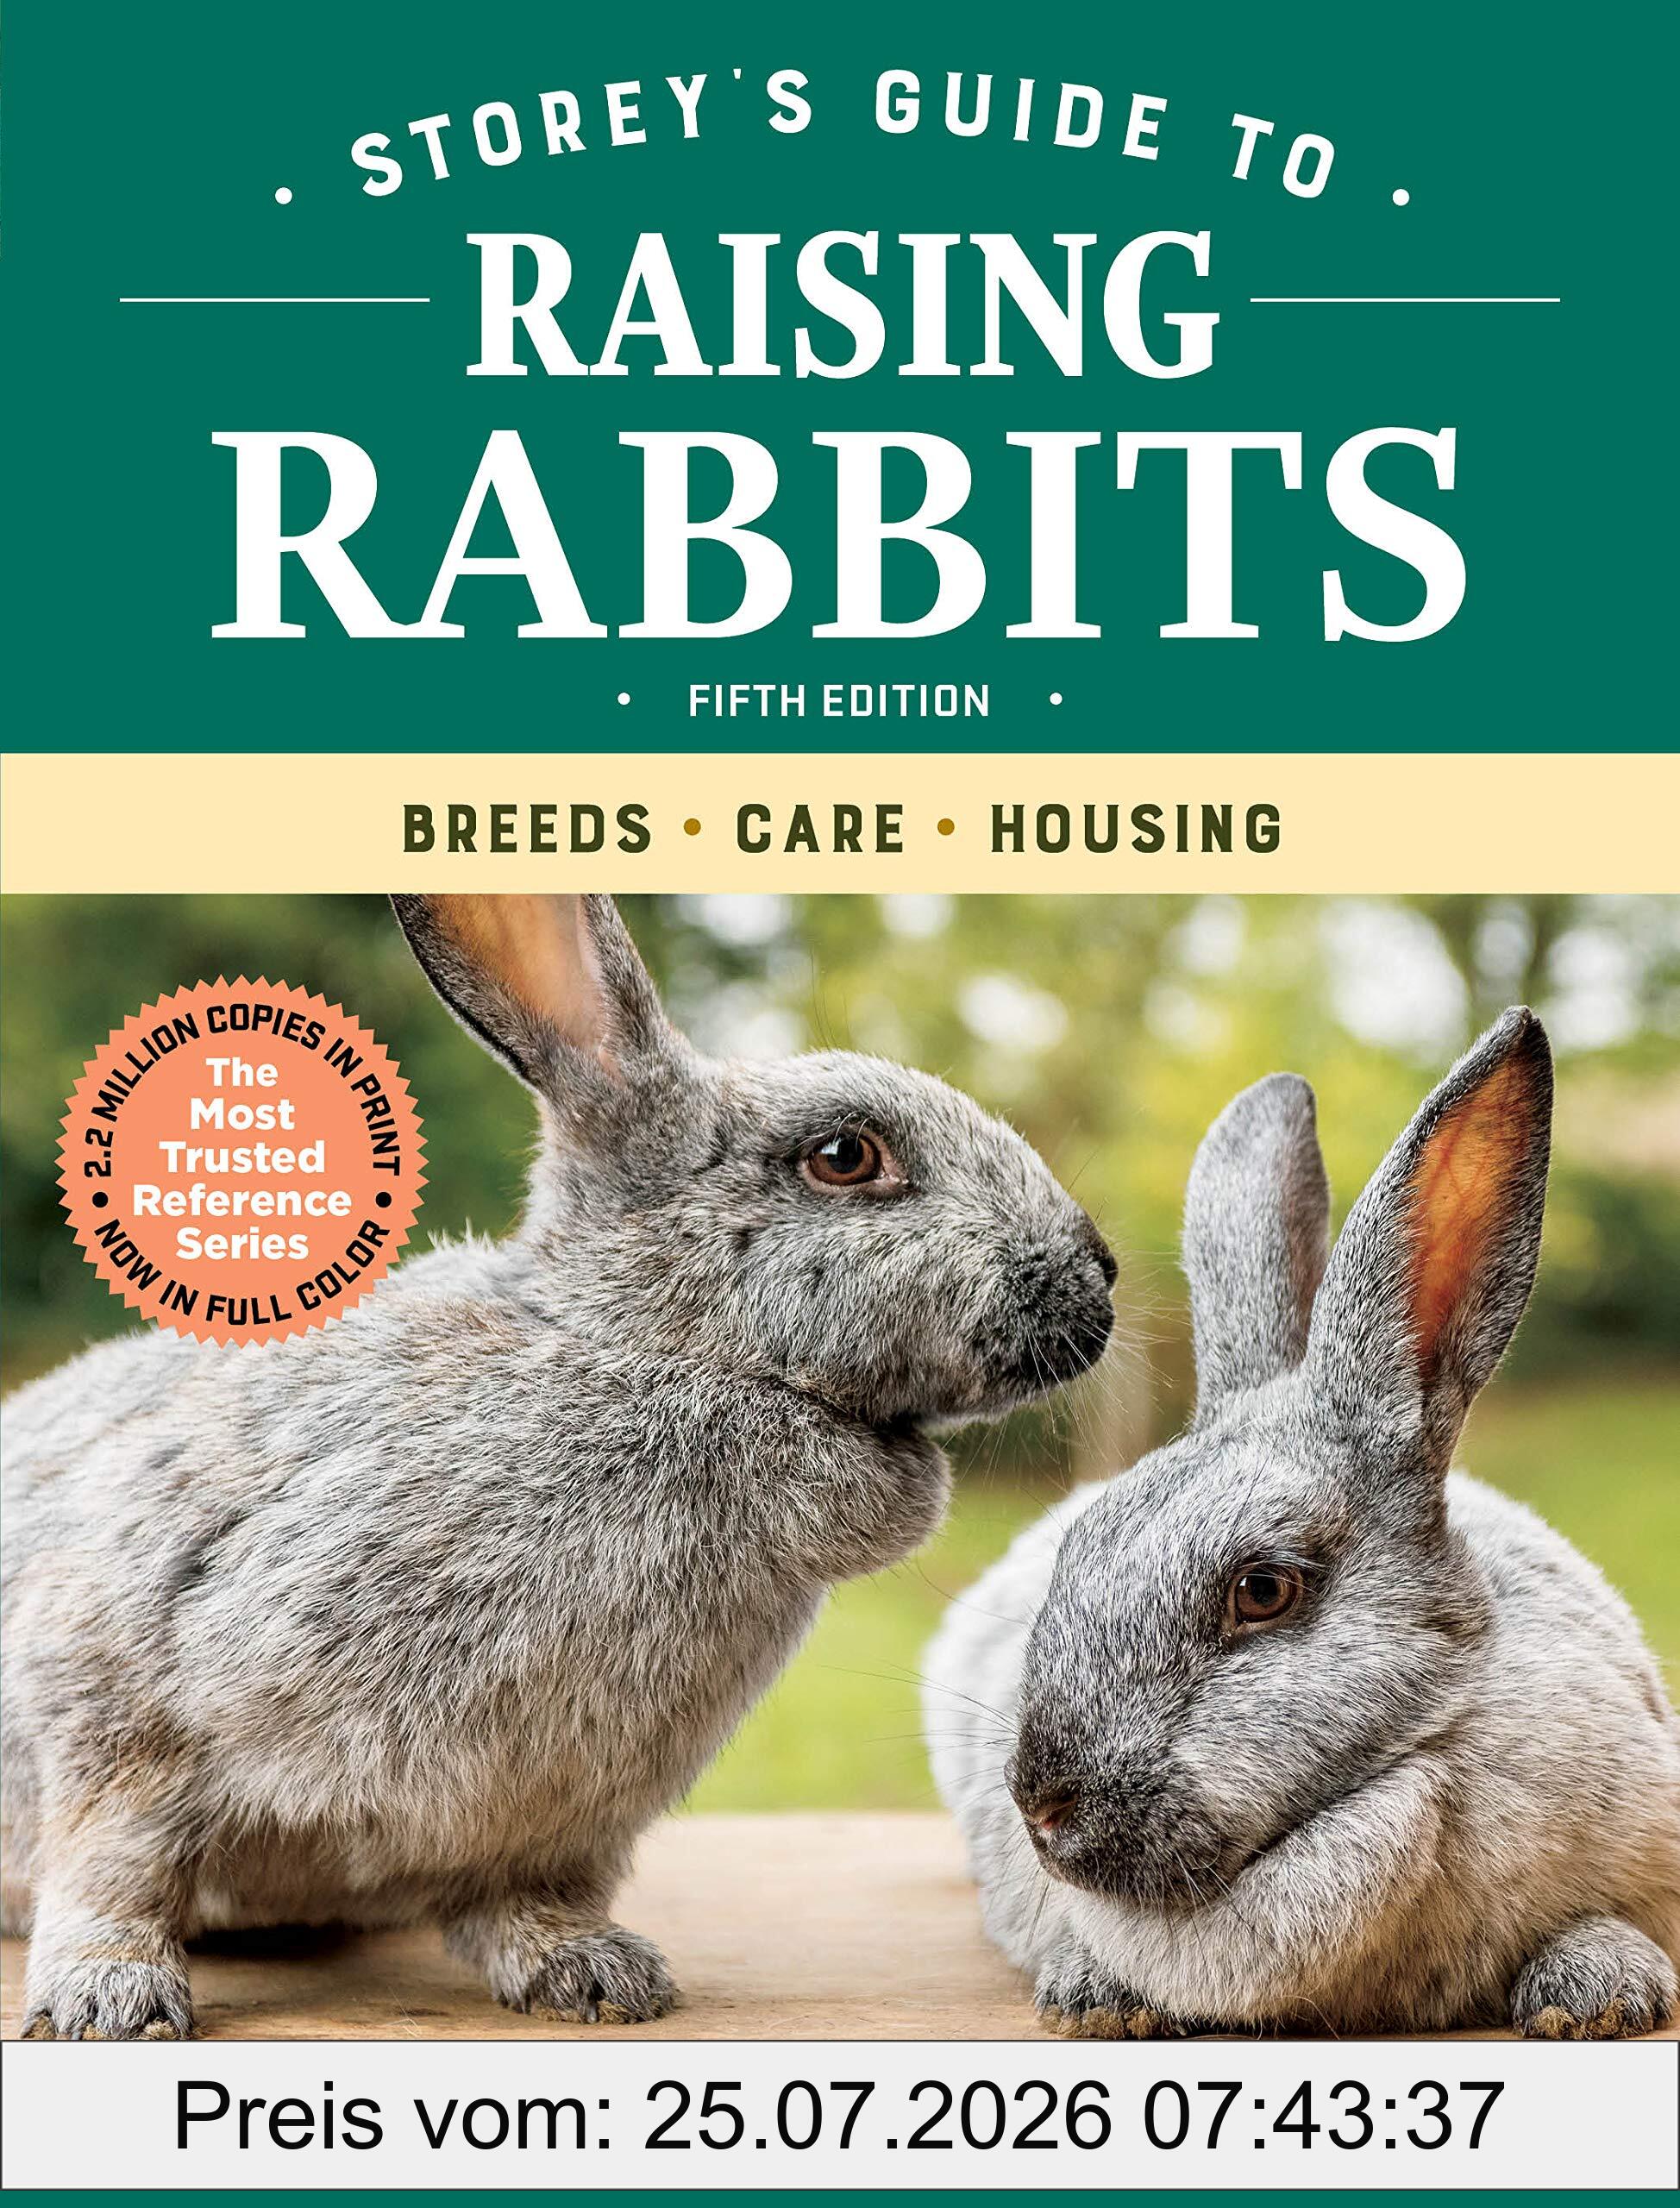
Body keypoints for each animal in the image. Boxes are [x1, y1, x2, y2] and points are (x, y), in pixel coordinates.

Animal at [2, 892, 1117, 2039]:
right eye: (845, 1155)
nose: (1100, 1274)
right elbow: (113, 1865)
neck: (642, 1350)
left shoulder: (557, 1821)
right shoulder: (117, 1677)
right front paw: (109, 1998)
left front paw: (591, 1972)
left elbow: (525, 1899)